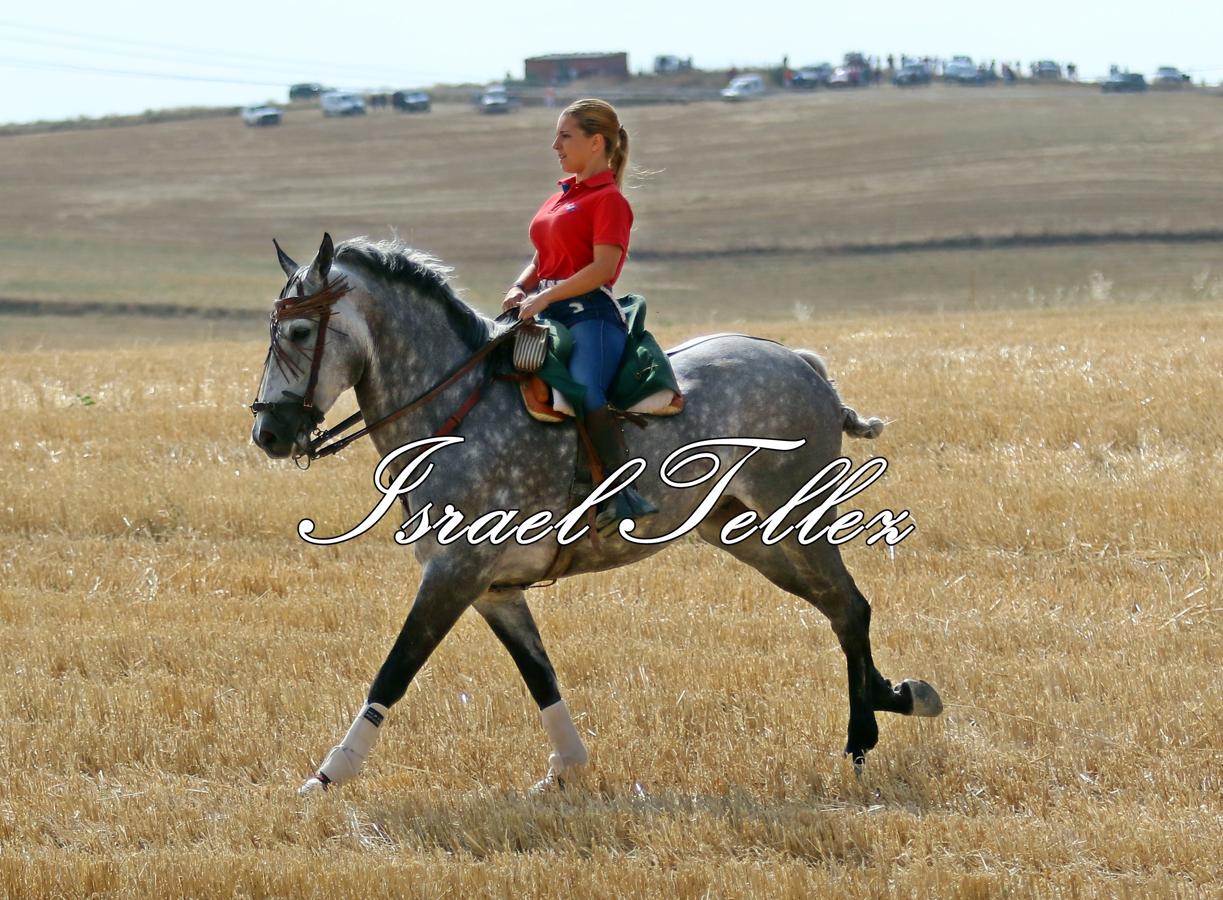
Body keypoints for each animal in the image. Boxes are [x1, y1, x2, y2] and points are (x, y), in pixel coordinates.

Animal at [245, 233, 934, 792]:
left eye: (300, 334)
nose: (269, 434)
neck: (457, 412)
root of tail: (804, 366)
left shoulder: (454, 574)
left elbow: (395, 669)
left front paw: (330, 774)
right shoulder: (494, 590)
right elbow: (540, 675)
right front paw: (566, 768)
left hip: (797, 521)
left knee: (850, 606)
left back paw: (862, 736)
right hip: (749, 536)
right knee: (839, 608)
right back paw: (898, 698)